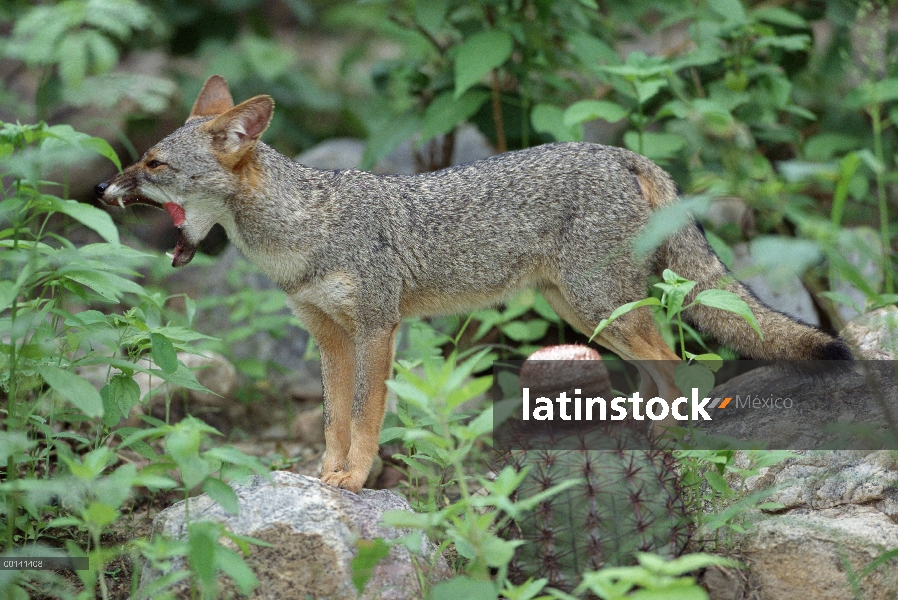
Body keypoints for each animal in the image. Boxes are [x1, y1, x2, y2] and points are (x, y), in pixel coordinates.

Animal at [94, 75, 852, 492]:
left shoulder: (378, 327)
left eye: (153, 164)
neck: (302, 231)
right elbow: (336, 419)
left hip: (598, 306)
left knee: (683, 369)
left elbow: (366, 415)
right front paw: (328, 477)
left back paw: (669, 442)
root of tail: (621, 151)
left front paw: (358, 478)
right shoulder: (329, 338)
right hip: (586, 315)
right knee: (660, 372)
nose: (103, 187)